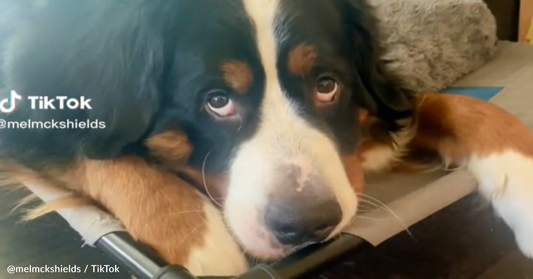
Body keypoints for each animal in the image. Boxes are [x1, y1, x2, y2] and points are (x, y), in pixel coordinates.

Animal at [1, 0, 532, 276]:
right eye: (217, 100)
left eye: (326, 85)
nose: (307, 224)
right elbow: (98, 154)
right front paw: (201, 241)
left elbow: (445, 103)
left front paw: (522, 182)